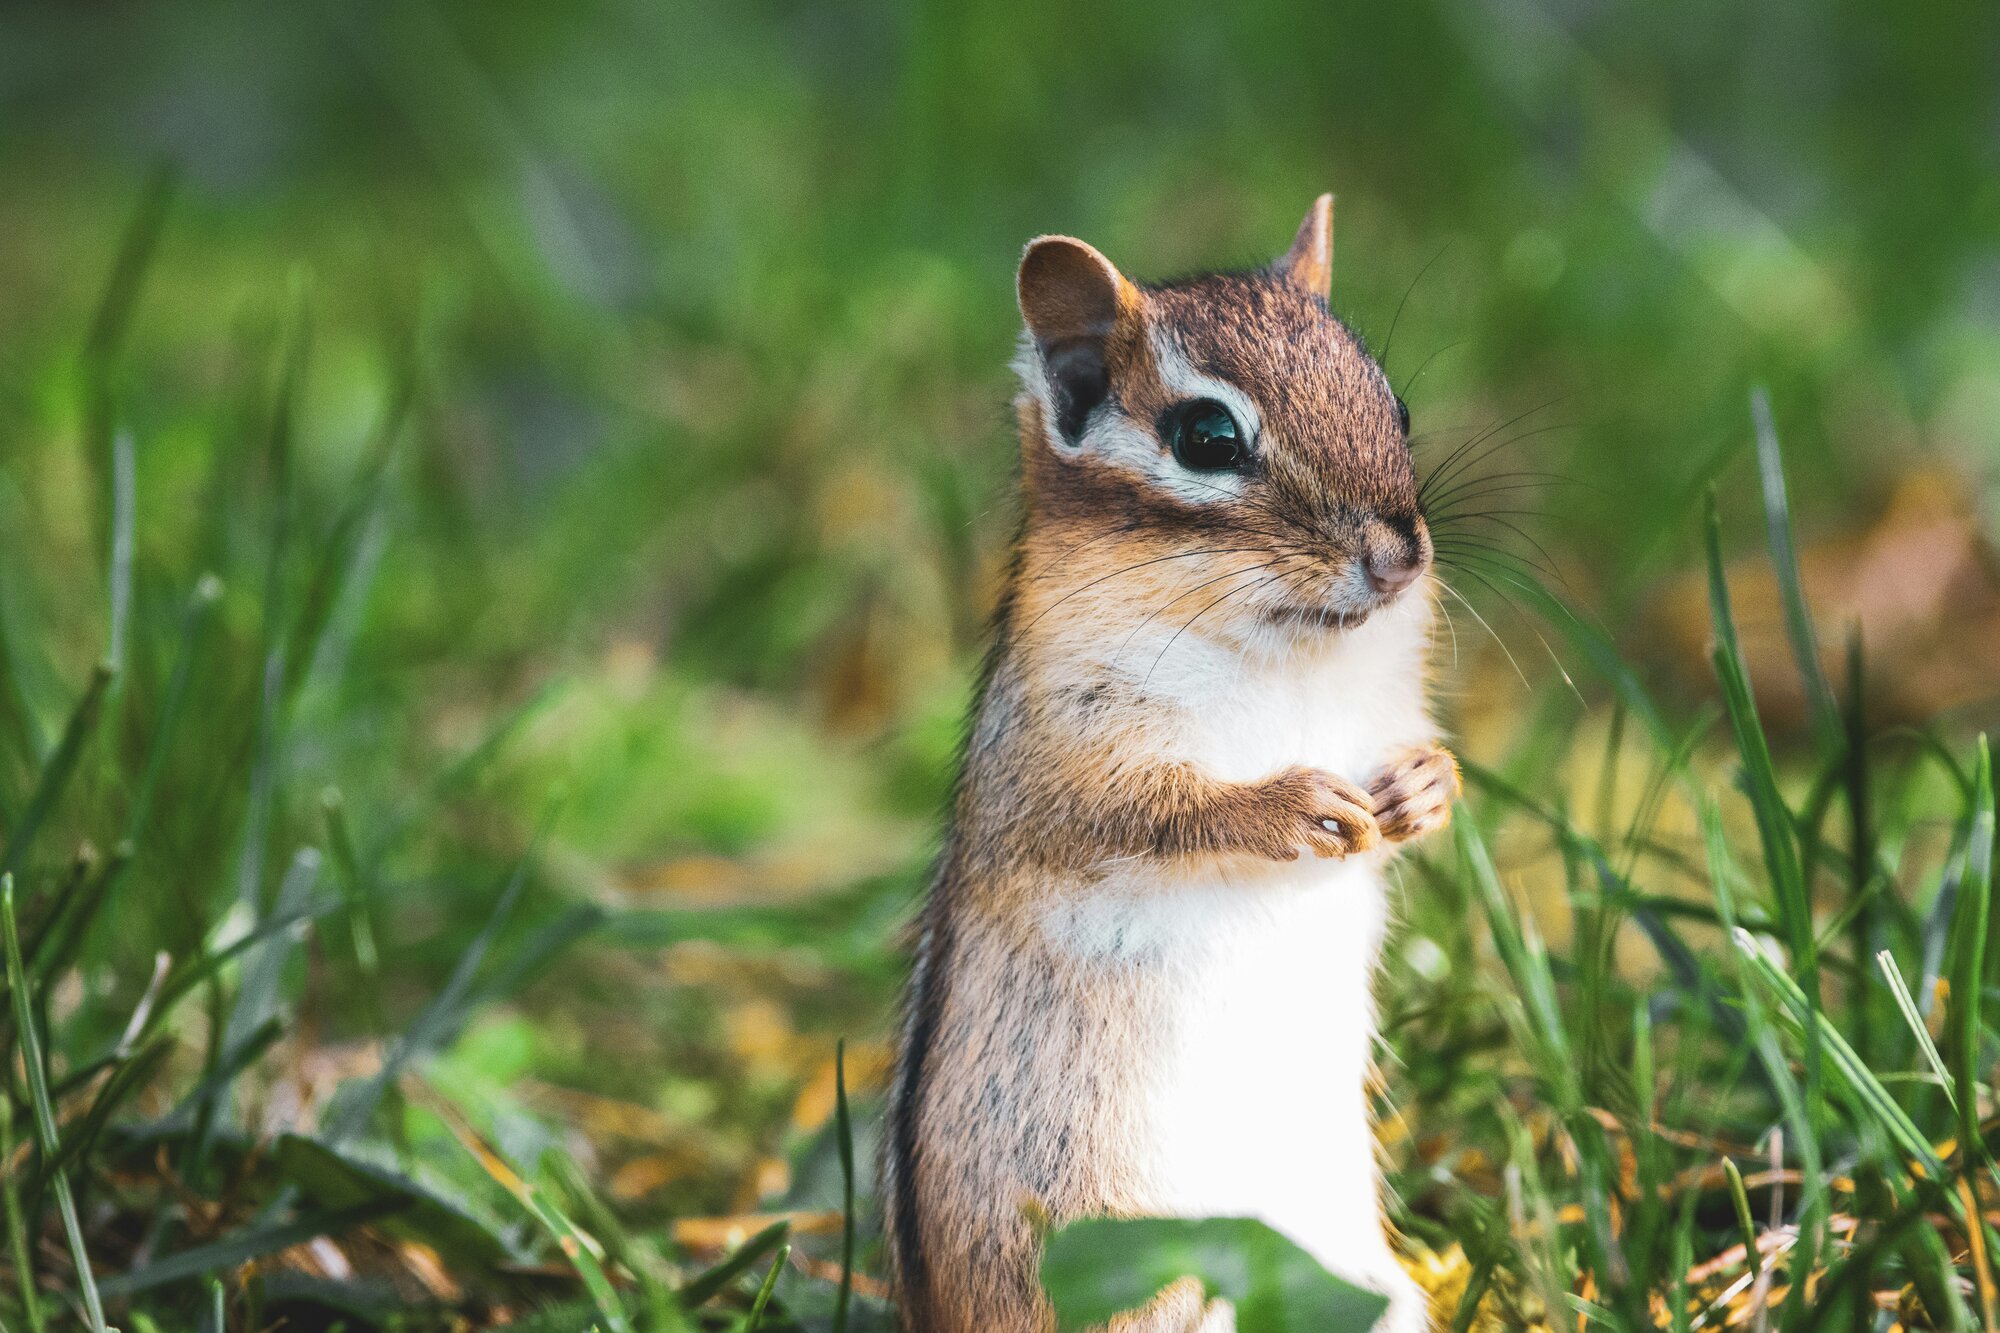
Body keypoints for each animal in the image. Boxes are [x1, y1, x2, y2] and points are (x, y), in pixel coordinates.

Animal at [882, 196, 1458, 1333]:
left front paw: (1422, 788)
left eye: (1398, 404)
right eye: (1206, 437)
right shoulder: (1069, 754)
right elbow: (1151, 812)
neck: (1289, 653)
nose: (1399, 557)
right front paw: (1291, 805)